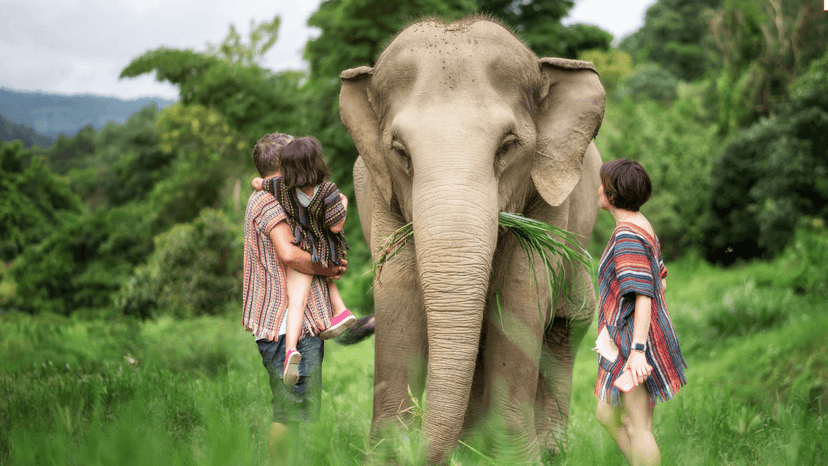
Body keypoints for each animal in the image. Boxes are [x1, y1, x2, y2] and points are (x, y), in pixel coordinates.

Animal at [338, 17, 605, 464]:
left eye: (508, 146)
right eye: (400, 152)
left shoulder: (550, 195)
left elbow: (521, 291)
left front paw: (516, 458)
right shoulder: (378, 191)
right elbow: (397, 289)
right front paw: (388, 452)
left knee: (563, 331)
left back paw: (545, 450)